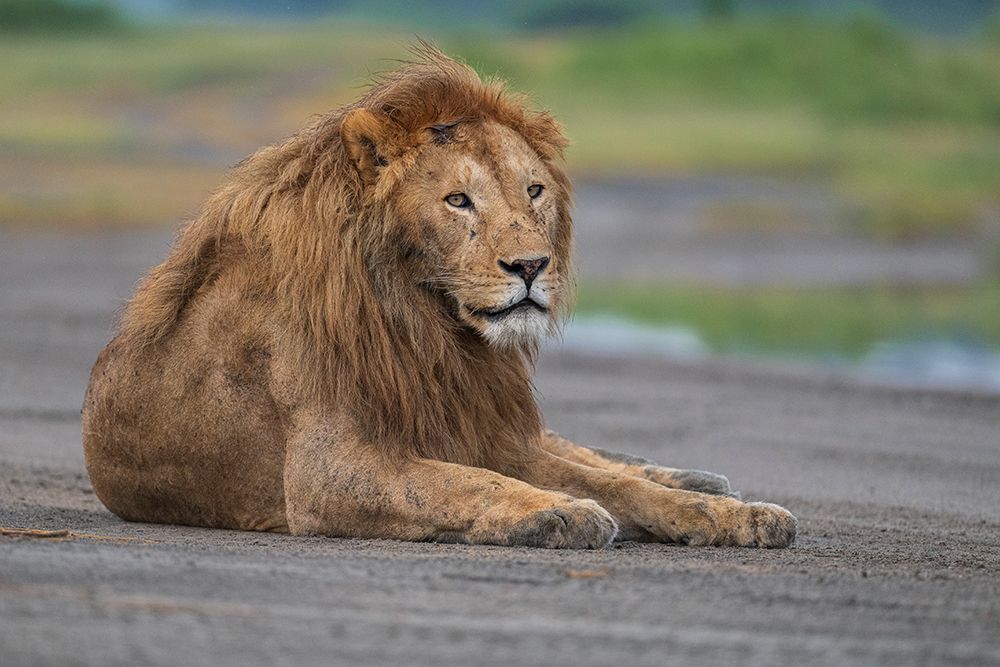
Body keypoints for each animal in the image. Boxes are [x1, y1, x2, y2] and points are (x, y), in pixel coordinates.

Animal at [82, 46, 796, 548]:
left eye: (533, 190)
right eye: (458, 200)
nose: (531, 266)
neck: (426, 323)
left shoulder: (481, 426)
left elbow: (604, 481)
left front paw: (742, 516)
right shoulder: (328, 472)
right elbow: (461, 483)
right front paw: (559, 513)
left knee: (592, 452)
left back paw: (700, 479)